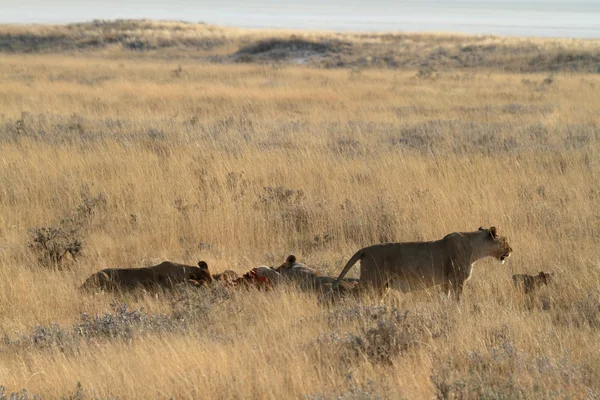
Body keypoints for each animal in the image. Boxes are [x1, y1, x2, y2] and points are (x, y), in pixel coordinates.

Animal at [332, 225, 510, 300]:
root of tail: (365, 250)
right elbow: (457, 299)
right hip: (372, 280)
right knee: (355, 293)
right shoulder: (457, 279)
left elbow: (446, 297)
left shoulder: (445, 282)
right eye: (505, 241)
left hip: (382, 285)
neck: (475, 248)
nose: (511, 250)